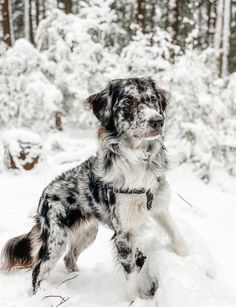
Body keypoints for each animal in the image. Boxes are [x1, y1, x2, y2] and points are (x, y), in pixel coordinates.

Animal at [0, 77, 187, 300]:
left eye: (152, 99)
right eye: (128, 102)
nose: (158, 121)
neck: (138, 161)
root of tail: (44, 195)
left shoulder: (158, 205)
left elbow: (177, 236)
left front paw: (185, 255)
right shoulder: (124, 233)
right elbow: (132, 276)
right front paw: (134, 300)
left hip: (87, 233)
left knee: (69, 258)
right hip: (56, 240)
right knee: (38, 270)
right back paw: (40, 295)